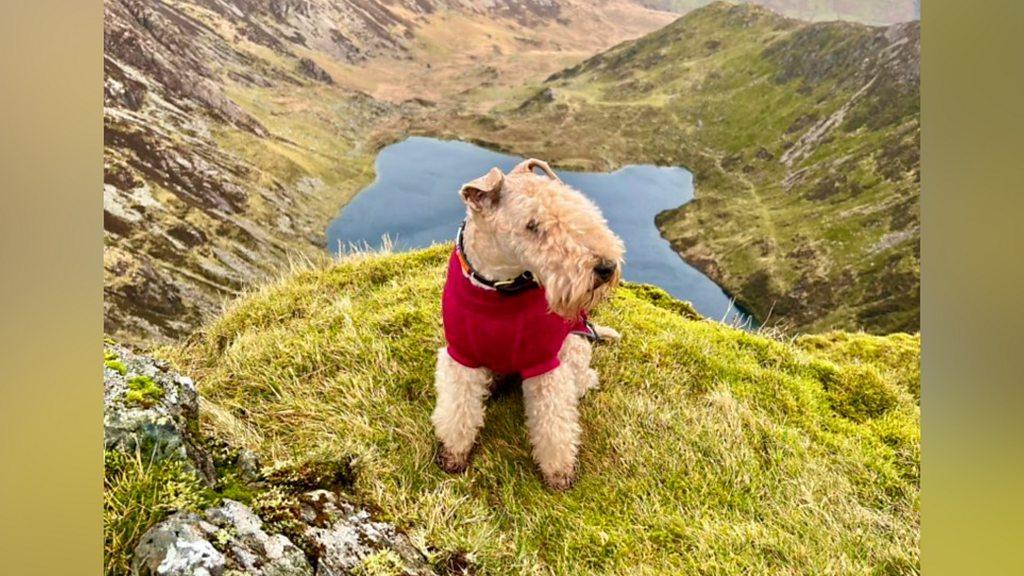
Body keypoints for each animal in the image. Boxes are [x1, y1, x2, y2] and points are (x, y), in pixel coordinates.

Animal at [430, 157, 622, 487]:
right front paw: (453, 455)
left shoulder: (544, 362)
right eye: (533, 225)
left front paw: (559, 473)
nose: (606, 267)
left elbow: (553, 422)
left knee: (581, 375)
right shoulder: (461, 355)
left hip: (574, 344)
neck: (497, 289)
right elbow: (458, 408)